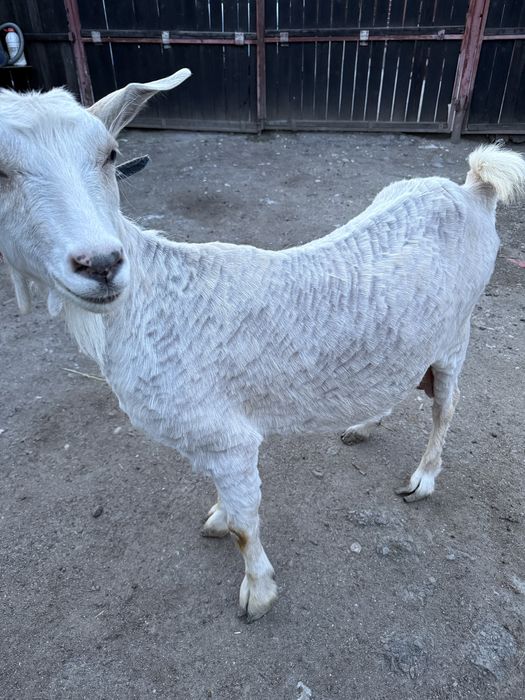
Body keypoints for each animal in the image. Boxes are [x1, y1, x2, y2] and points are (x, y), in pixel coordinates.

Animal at [1, 70, 524, 621]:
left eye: (109, 154)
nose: (100, 264)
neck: (153, 304)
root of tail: (473, 190)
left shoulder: (228, 438)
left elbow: (244, 525)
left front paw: (258, 591)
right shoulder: (206, 436)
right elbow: (227, 504)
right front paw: (218, 516)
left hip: (456, 333)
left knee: (446, 406)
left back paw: (423, 479)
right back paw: (362, 425)